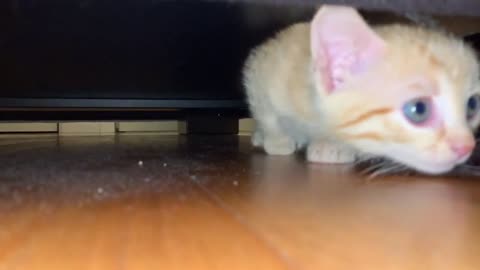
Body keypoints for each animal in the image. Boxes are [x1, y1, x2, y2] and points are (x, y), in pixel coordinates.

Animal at [244, 4, 480, 175]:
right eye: (419, 109)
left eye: (472, 106)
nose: (467, 147)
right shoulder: (263, 68)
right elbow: (267, 114)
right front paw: (277, 140)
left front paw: (336, 146)